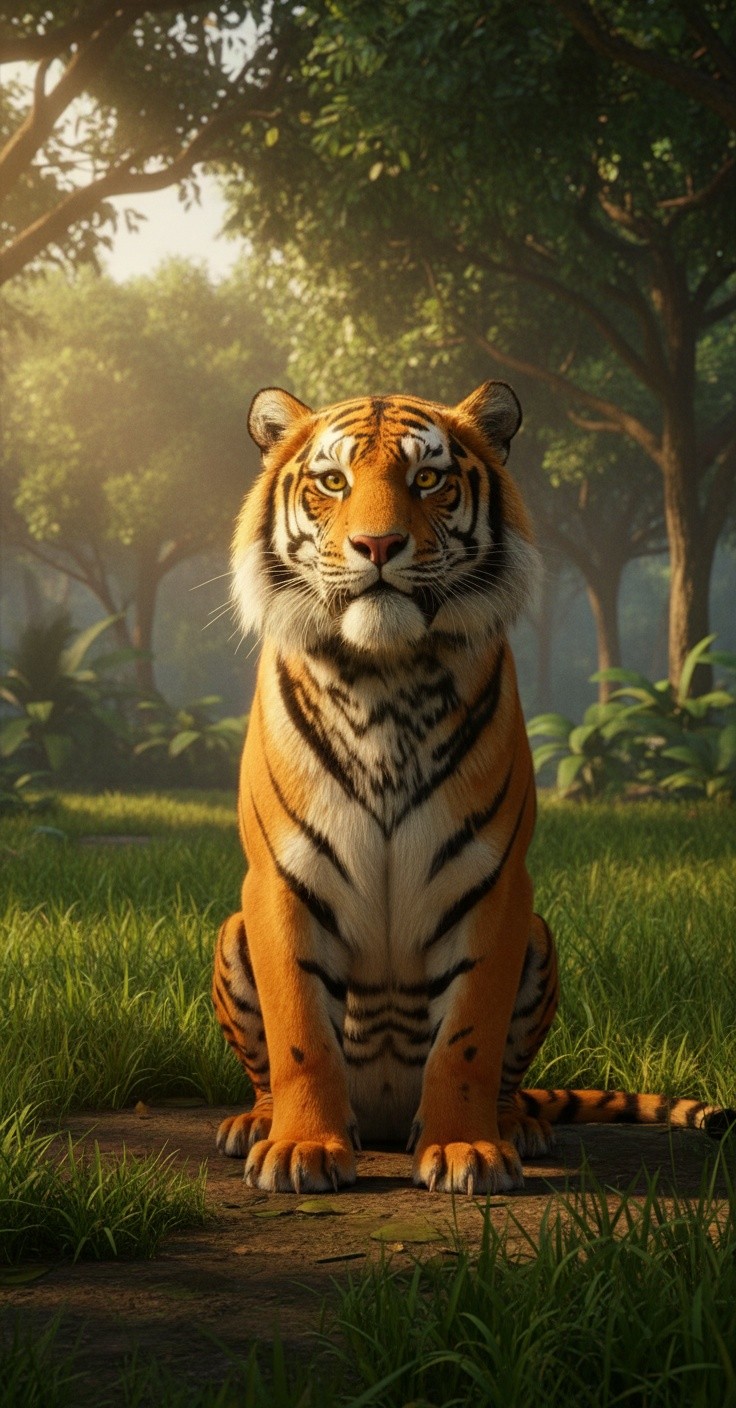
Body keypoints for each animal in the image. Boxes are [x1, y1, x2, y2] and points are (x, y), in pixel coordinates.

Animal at [211, 380, 734, 1195]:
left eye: (428, 478)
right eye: (333, 481)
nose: (378, 546)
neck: (384, 677)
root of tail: (384, 1120)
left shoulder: (494, 884)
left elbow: (468, 1037)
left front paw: (467, 1149)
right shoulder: (278, 882)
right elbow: (299, 1030)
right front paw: (301, 1148)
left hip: (541, 938)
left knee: (510, 1078)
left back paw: (516, 1125)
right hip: (231, 932)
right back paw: (255, 1124)